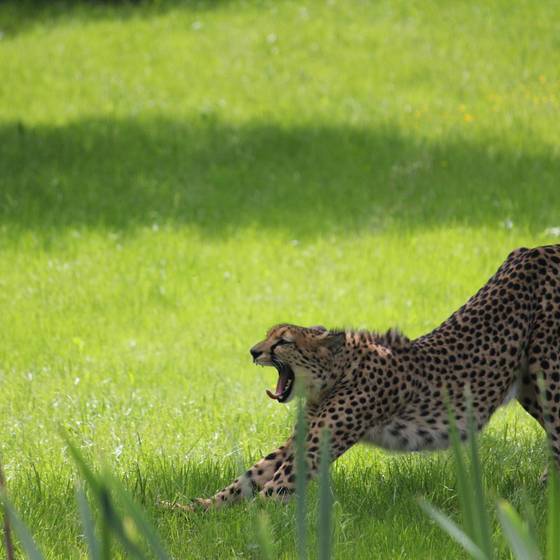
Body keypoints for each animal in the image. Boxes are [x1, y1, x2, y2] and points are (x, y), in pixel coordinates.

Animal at [179, 244, 560, 508]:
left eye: (283, 342)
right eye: (267, 335)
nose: (253, 351)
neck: (336, 373)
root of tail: (540, 248)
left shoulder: (315, 447)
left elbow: (270, 492)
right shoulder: (302, 436)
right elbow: (249, 477)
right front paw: (193, 508)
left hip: (547, 378)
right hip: (530, 387)